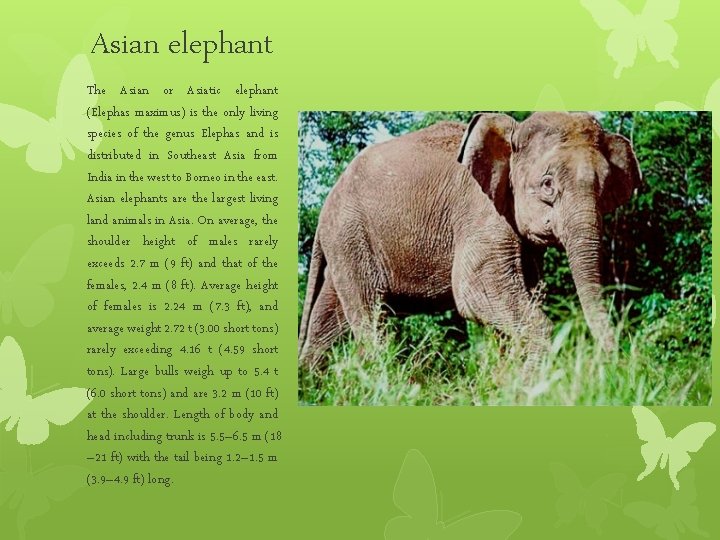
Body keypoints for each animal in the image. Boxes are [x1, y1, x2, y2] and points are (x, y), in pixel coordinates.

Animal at [298, 112, 641, 368]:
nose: (615, 366)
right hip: (350, 236)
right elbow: (474, 290)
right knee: (370, 316)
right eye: (547, 184)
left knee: (329, 320)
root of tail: (327, 201)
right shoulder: (481, 214)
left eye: (606, 186)